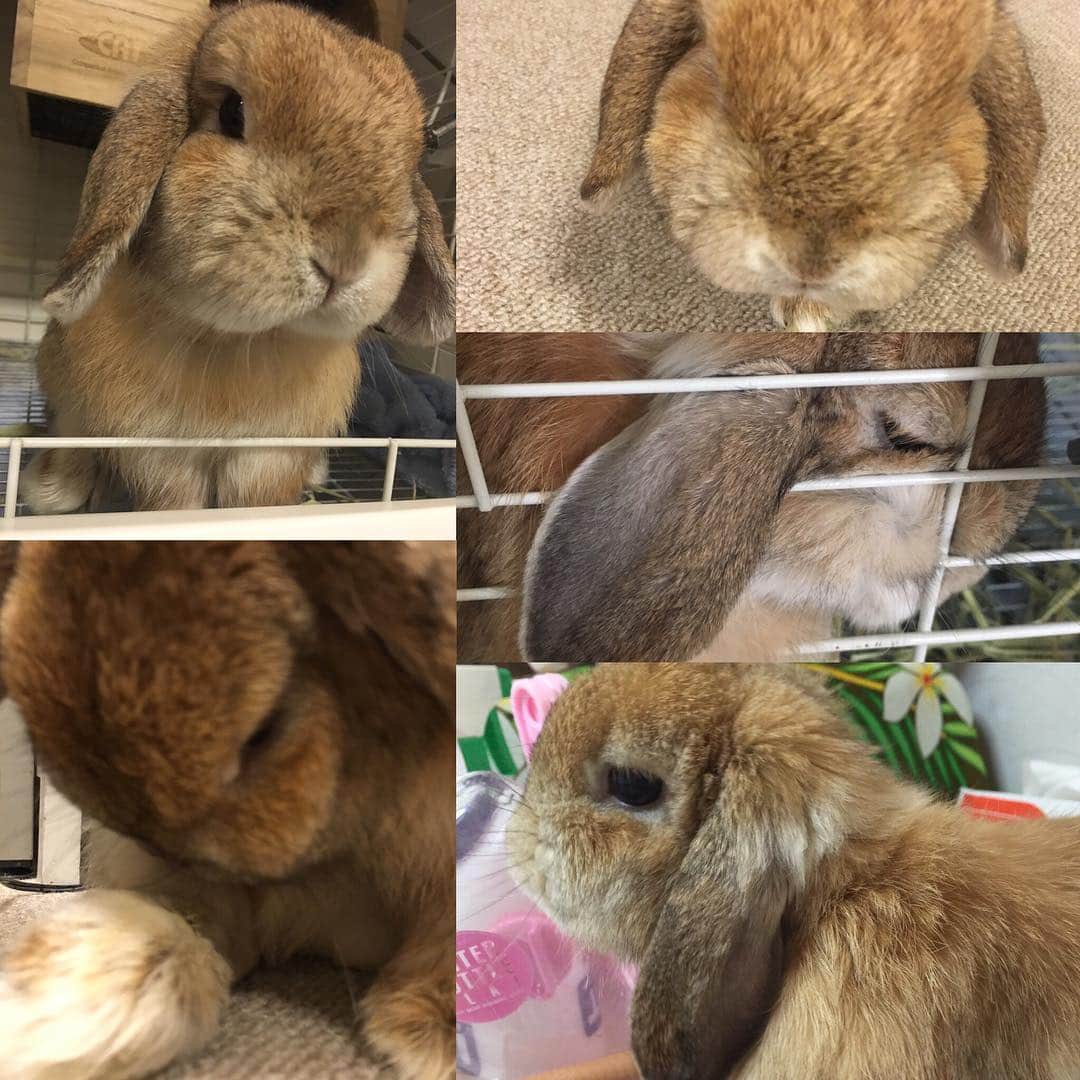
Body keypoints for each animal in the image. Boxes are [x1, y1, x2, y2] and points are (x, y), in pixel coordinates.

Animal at [24, 1, 455, 514]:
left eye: (424, 145)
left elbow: (256, 500)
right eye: (232, 111)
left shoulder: (270, 452)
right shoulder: (155, 449)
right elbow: (175, 502)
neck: (237, 342)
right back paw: (54, 489)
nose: (345, 259)